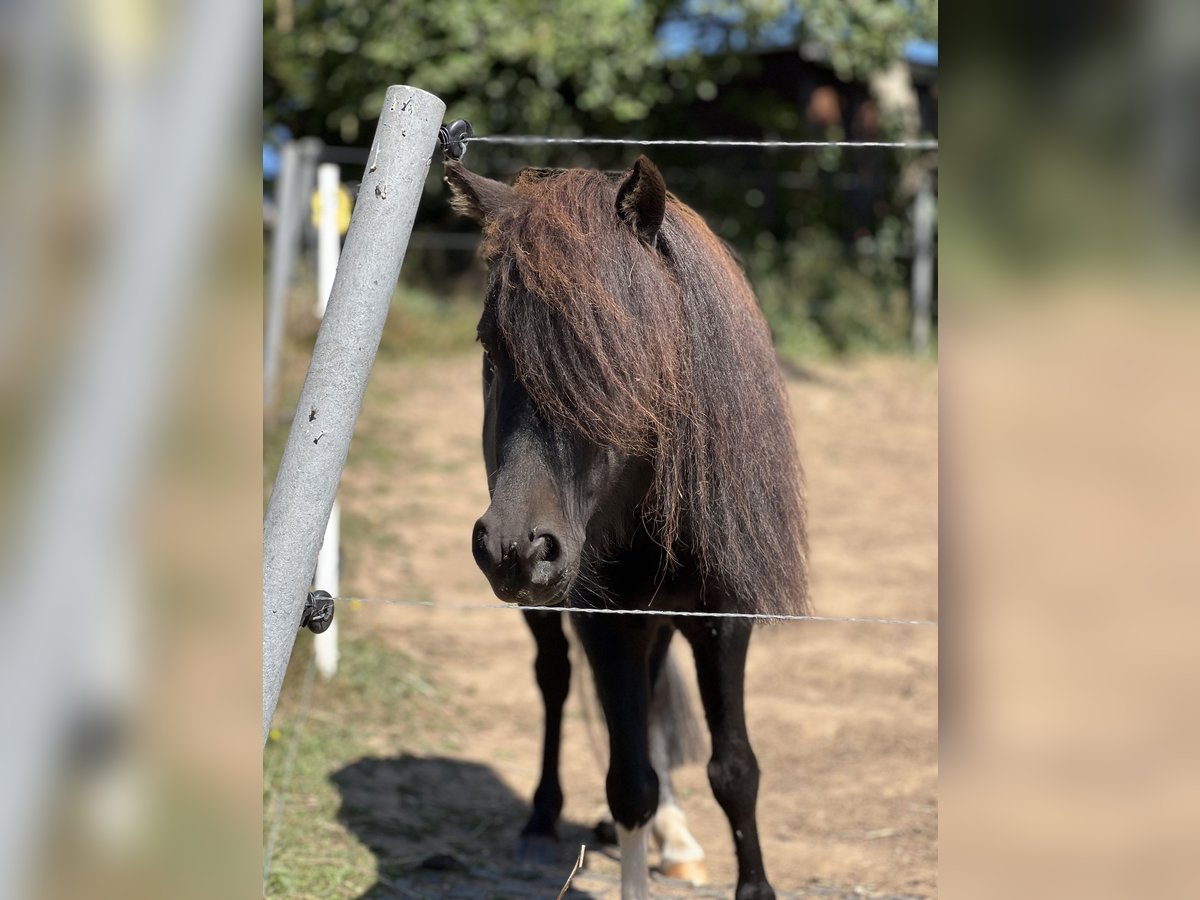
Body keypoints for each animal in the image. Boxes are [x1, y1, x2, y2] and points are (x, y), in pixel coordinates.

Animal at [448, 157, 806, 900]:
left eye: (616, 352)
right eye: (490, 347)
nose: (514, 549)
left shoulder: (722, 617)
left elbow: (735, 771)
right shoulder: (605, 619)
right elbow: (628, 783)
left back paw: (676, 836)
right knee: (555, 679)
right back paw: (541, 818)